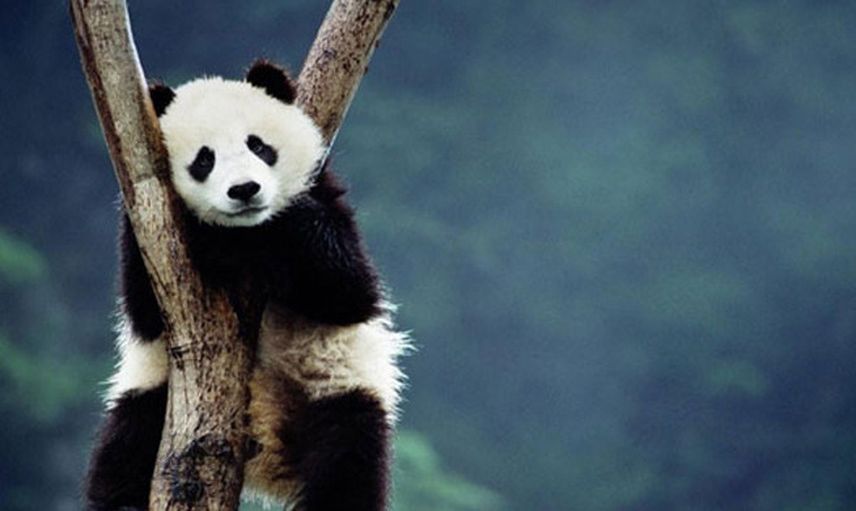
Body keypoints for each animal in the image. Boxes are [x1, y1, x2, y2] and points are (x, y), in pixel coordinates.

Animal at [85, 60, 409, 511]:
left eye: (258, 146)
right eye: (204, 160)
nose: (244, 190)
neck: (247, 232)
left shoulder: (326, 196)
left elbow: (351, 291)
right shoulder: (149, 232)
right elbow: (145, 312)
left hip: (337, 386)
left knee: (348, 458)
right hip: (154, 394)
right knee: (127, 444)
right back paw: (125, 501)